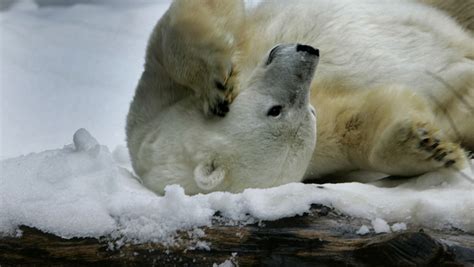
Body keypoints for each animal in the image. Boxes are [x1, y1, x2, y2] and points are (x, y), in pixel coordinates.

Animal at [126, 0, 474, 195]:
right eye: (277, 110)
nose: (306, 51)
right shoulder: (320, 148)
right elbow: (359, 120)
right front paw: (429, 146)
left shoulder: (150, 106)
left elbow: (169, 37)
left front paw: (217, 80)